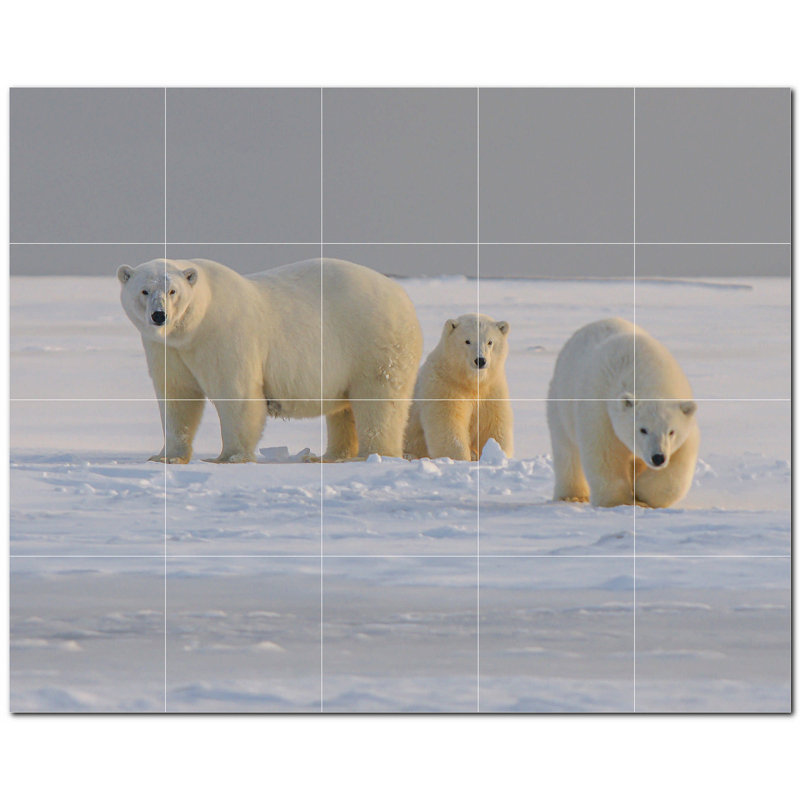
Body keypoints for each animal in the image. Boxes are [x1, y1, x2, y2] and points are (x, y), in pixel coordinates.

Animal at [117, 257, 423, 463]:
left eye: (173, 291)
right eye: (144, 290)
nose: (159, 316)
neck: (194, 327)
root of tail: (403, 296)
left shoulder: (225, 334)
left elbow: (237, 394)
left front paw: (229, 457)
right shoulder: (167, 349)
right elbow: (177, 397)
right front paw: (166, 457)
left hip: (373, 342)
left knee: (379, 401)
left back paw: (373, 454)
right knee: (343, 409)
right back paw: (331, 455)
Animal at [404, 313, 513, 461]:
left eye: (490, 342)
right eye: (467, 341)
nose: (480, 360)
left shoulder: (491, 389)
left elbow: (492, 425)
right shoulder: (444, 386)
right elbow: (448, 425)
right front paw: (460, 458)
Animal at [547, 317, 699, 508]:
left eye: (671, 431)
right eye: (643, 429)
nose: (658, 458)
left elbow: (680, 461)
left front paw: (642, 494)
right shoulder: (600, 410)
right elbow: (605, 453)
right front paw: (619, 501)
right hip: (560, 403)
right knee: (566, 451)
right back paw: (572, 496)